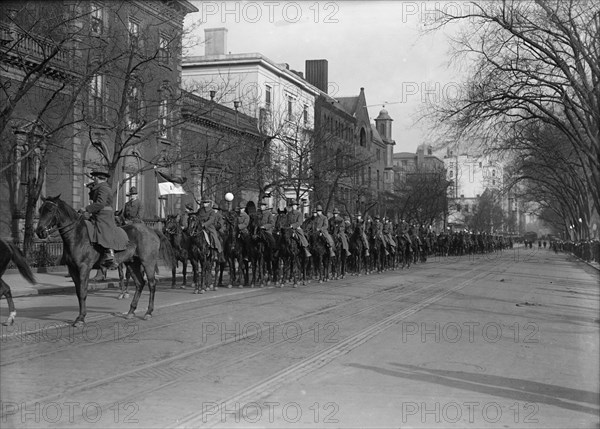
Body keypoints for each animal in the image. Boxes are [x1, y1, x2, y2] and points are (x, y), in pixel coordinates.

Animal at [35, 196, 176, 326]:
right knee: (140, 283)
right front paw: (80, 316)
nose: (39, 231)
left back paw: (148, 312)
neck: (77, 236)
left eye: (50, 210)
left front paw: (81, 318)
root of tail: (152, 230)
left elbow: (83, 292)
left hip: (148, 262)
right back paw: (131, 311)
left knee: (151, 284)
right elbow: (78, 292)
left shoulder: (84, 268)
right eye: (40, 209)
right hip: (132, 263)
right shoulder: (73, 270)